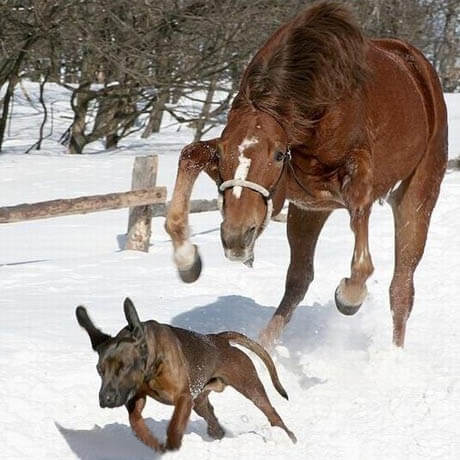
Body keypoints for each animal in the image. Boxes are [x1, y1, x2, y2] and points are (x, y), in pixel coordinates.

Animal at [76, 296, 296, 452]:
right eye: (99, 370)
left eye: (124, 367)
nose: (105, 399)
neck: (152, 365)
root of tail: (219, 339)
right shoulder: (136, 397)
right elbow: (136, 421)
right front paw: (152, 442)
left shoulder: (183, 397)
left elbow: (175, 425)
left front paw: (172, 447)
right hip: (200, 400)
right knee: (213, 421)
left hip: (249, 384)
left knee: (272, 413)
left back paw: (289, 438)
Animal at [164, 0, 446, 348]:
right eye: (225, 154)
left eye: (277, 154)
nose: (236, 237)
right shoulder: (290, 188)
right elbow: (189, 155)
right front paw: (187, 260)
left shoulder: (356, 175)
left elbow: (362, 239)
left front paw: (349, 296)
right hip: (309, 212)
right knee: (299, 279)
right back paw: (263, 345)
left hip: (417, 196)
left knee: (402, 285)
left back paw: (393, 353)